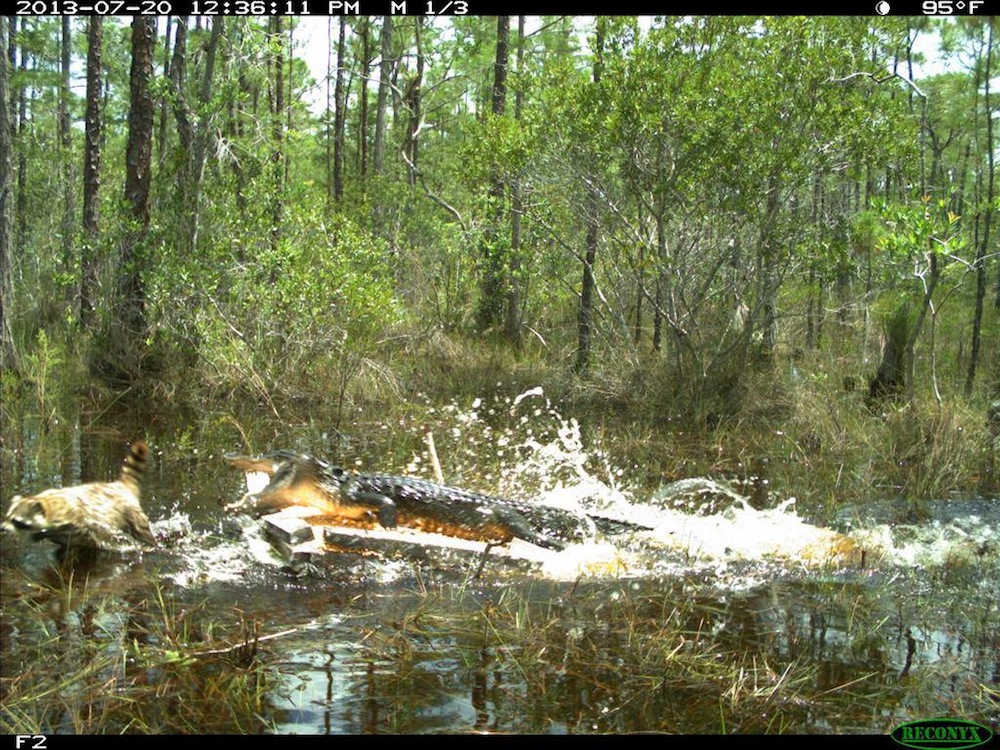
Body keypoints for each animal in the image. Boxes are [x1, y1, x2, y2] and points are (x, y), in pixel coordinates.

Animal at [3, 440, 157, 553]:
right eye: (7, 516)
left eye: (16, 521)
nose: (2, 529)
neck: (46, 503)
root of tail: (119, 485)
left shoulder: (73, 519)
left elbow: (80, 531)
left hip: (132, 515)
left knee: (143, 533)